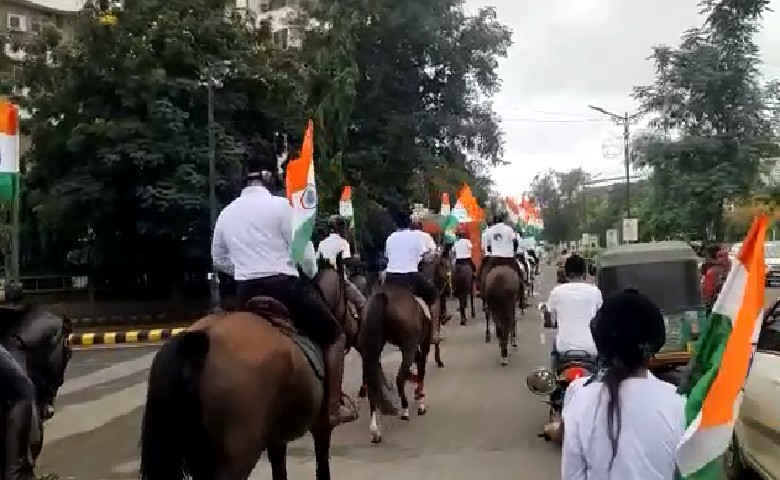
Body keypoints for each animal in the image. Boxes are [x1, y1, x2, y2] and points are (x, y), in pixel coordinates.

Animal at [139, 304, 348, 480]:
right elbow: (322, 462)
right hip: (238, 451)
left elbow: (280, 470)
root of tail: (198, 340)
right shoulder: (320, 425)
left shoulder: (276, 437)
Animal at [358, 266, 442, 442]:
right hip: (408, 346)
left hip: (370, 348)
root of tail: (382, 297)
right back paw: (405, 410)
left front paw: (415, 386)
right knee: (399, 377)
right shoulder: (422, 345)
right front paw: (420, 400)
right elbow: (421, 369)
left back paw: (375, 430)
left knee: (371, 383)